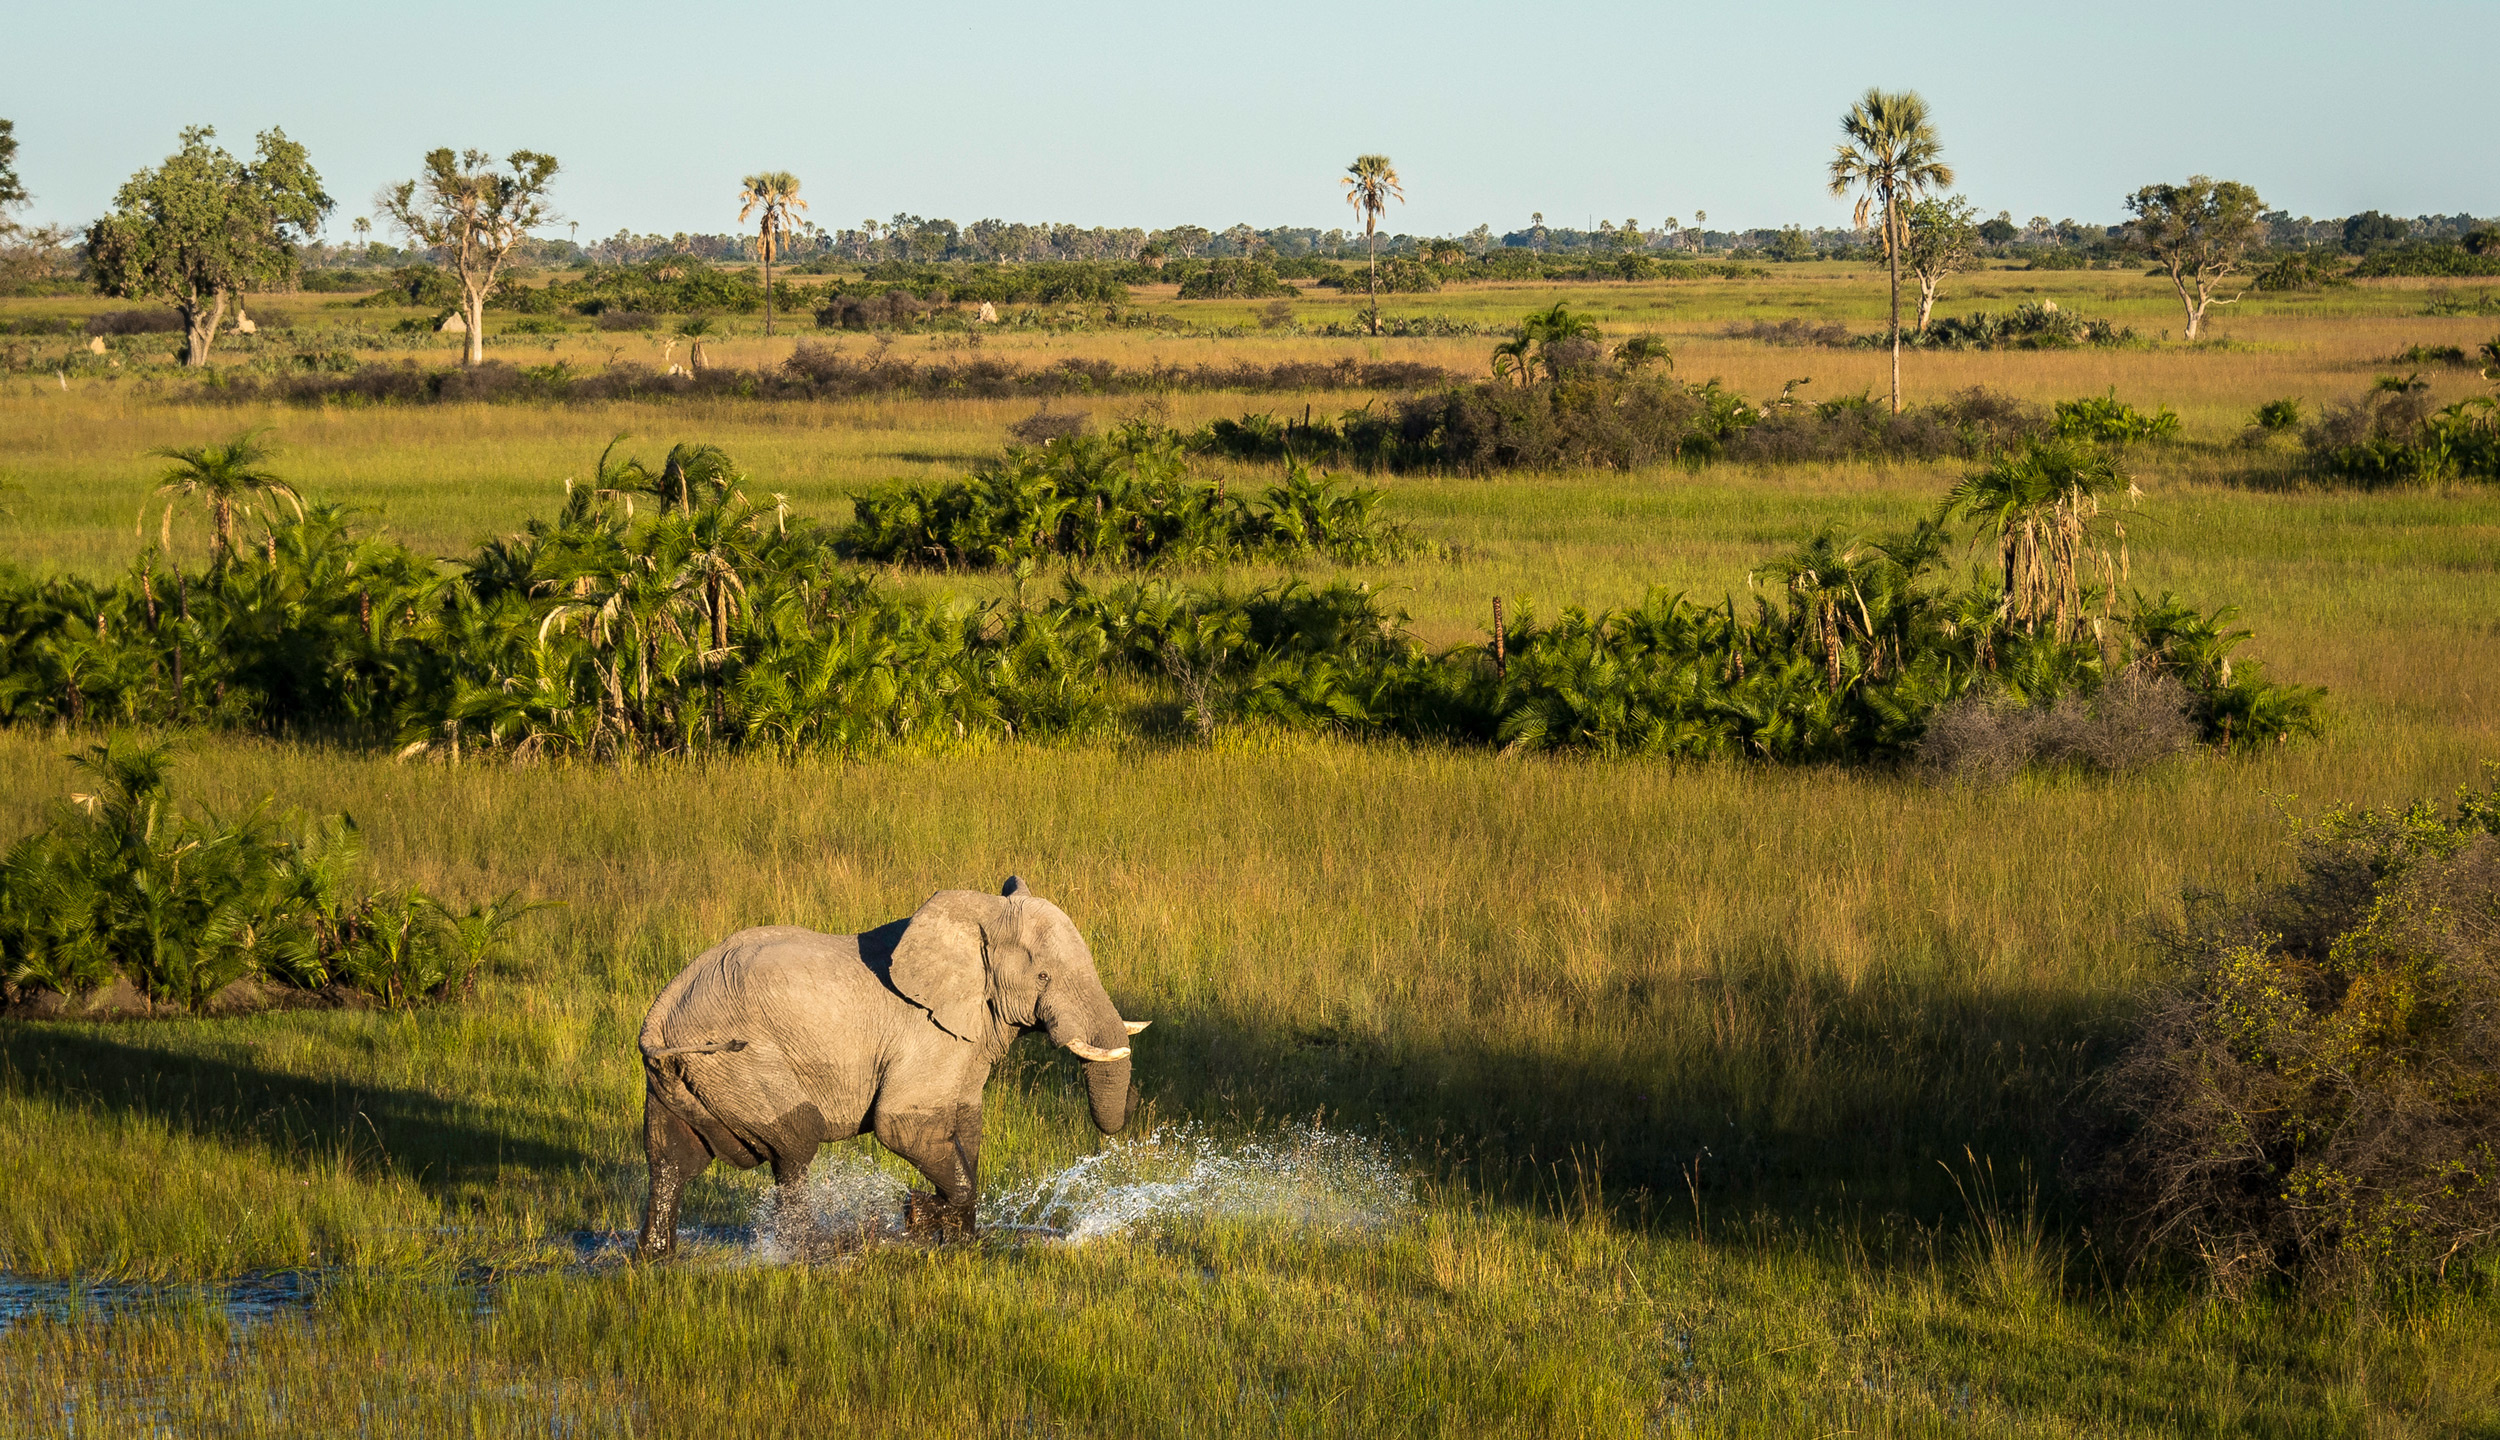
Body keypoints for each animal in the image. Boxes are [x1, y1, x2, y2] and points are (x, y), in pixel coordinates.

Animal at [630, 870, 1145, 1255]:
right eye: (1042, 976)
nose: (1136, 1099)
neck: (976, 915)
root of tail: (657, 1016)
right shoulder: (926, 1034)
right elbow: (901, 1125)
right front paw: (918, 1214)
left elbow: (965, 1125)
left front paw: (958, 1240)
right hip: (743, 1065)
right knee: (794, 1145)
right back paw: (808, 1253)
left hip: (684, 1080)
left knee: (671, 1160)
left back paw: (656, 1257)